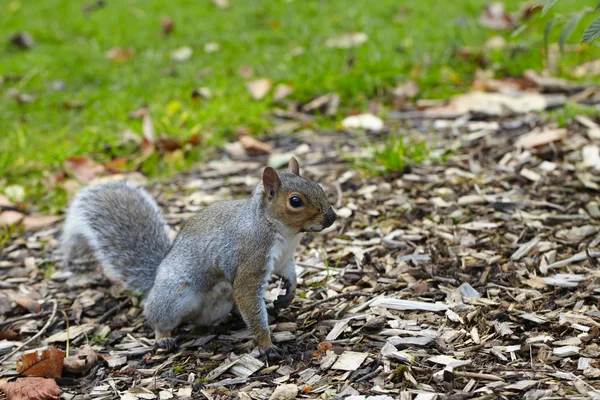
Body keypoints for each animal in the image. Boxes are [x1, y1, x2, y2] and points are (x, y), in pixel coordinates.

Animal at [59, 158, 338, 360]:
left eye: (319, 186)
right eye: (295, 201)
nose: (331, 217)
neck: (284, 232)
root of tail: (155, 279)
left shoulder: (284, 259)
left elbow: (291, 276)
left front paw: (287, 295)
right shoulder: (252, 256)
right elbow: (247, 292)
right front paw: (266, 344)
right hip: (175, 296)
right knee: (158, 316)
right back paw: (163, 336)